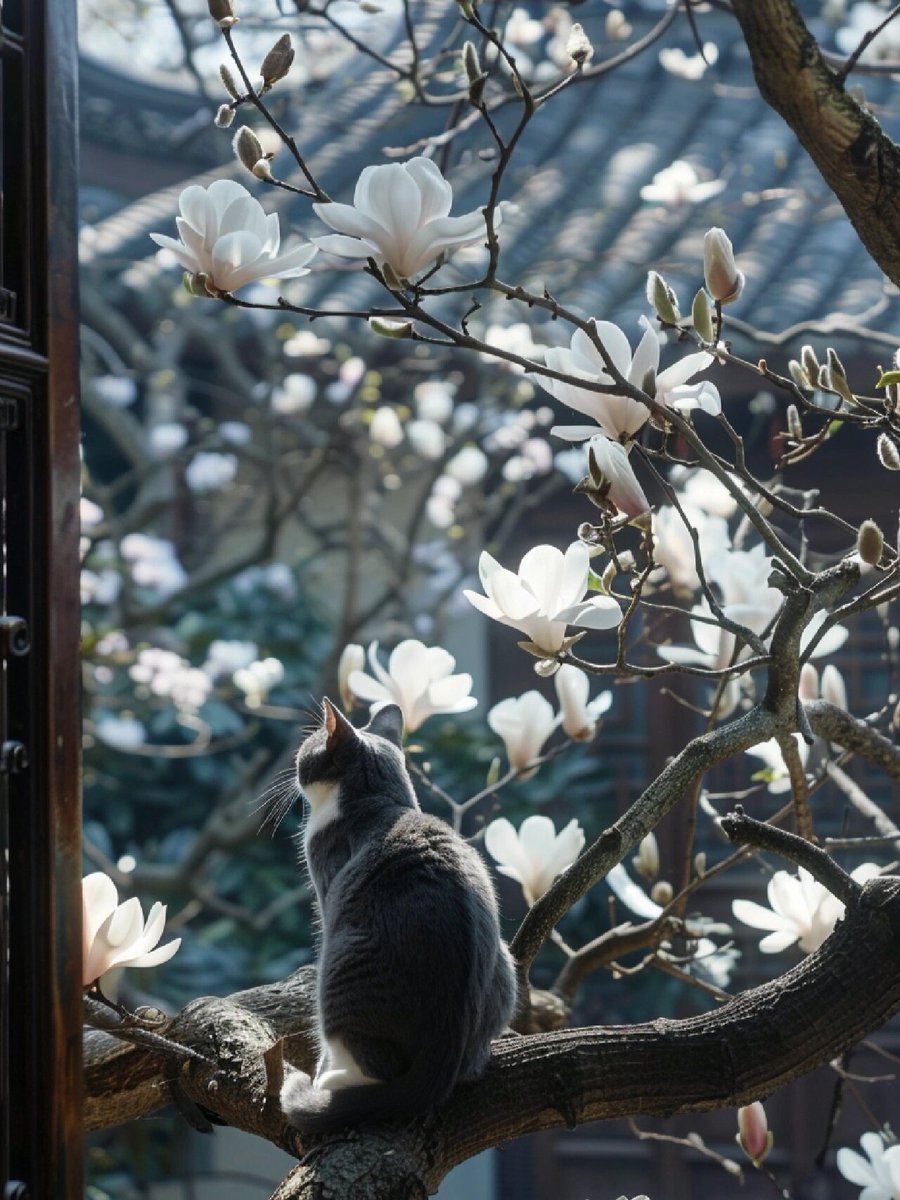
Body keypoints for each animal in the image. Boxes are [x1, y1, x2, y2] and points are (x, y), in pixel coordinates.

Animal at [282, 696, 520, 1132]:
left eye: (305, 751)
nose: (295, 768)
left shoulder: (326, 881)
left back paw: (331, 1080)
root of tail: (444, 1049)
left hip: (341, 963)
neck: (383, 802)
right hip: (504, 961)